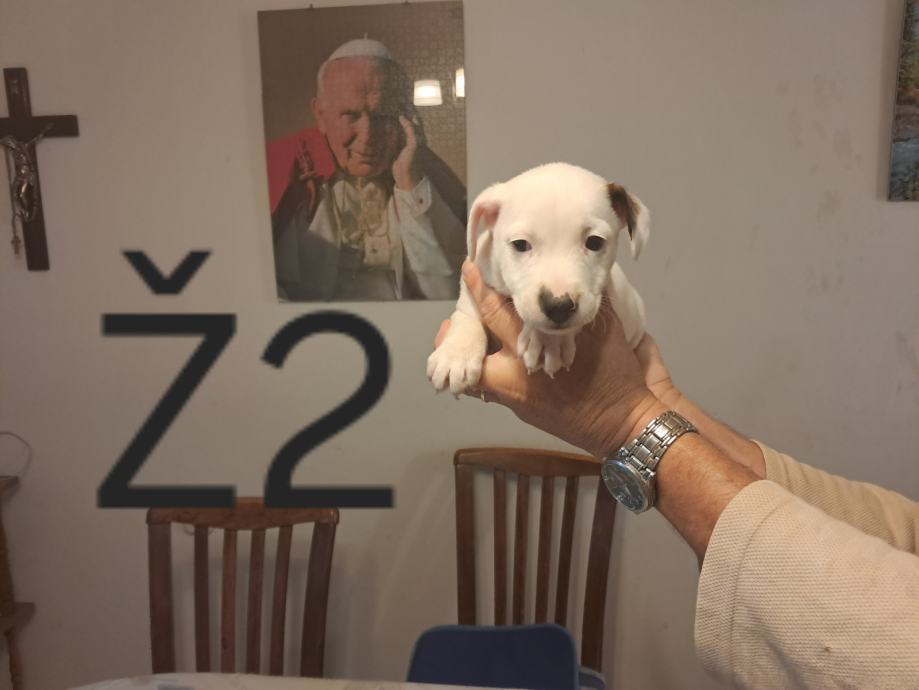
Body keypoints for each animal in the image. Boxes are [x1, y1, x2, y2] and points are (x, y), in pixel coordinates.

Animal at [427, 162, 650, 395]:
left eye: (595, 242)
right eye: (520, 244)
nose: (559, 307)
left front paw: (548, 342)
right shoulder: (478, 271)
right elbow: (468, 311)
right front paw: (456, 354)